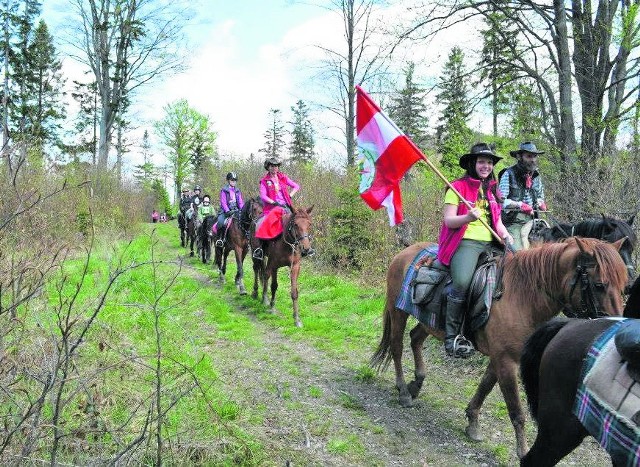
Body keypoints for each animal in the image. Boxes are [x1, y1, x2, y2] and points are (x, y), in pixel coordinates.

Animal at [372, 239, 628, 458]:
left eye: (624, 286)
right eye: (599, 284)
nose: (616, 326)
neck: (522, 296)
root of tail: (403, 253)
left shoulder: (500, 357)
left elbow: (485, 386)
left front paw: (472, 422)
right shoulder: (506, 360)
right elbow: (516, 410)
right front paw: (523, 451)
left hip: (430, 323)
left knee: (415, 339)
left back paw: (417, 383)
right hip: (398, 311)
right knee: (397, 347)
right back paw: (404, 391)